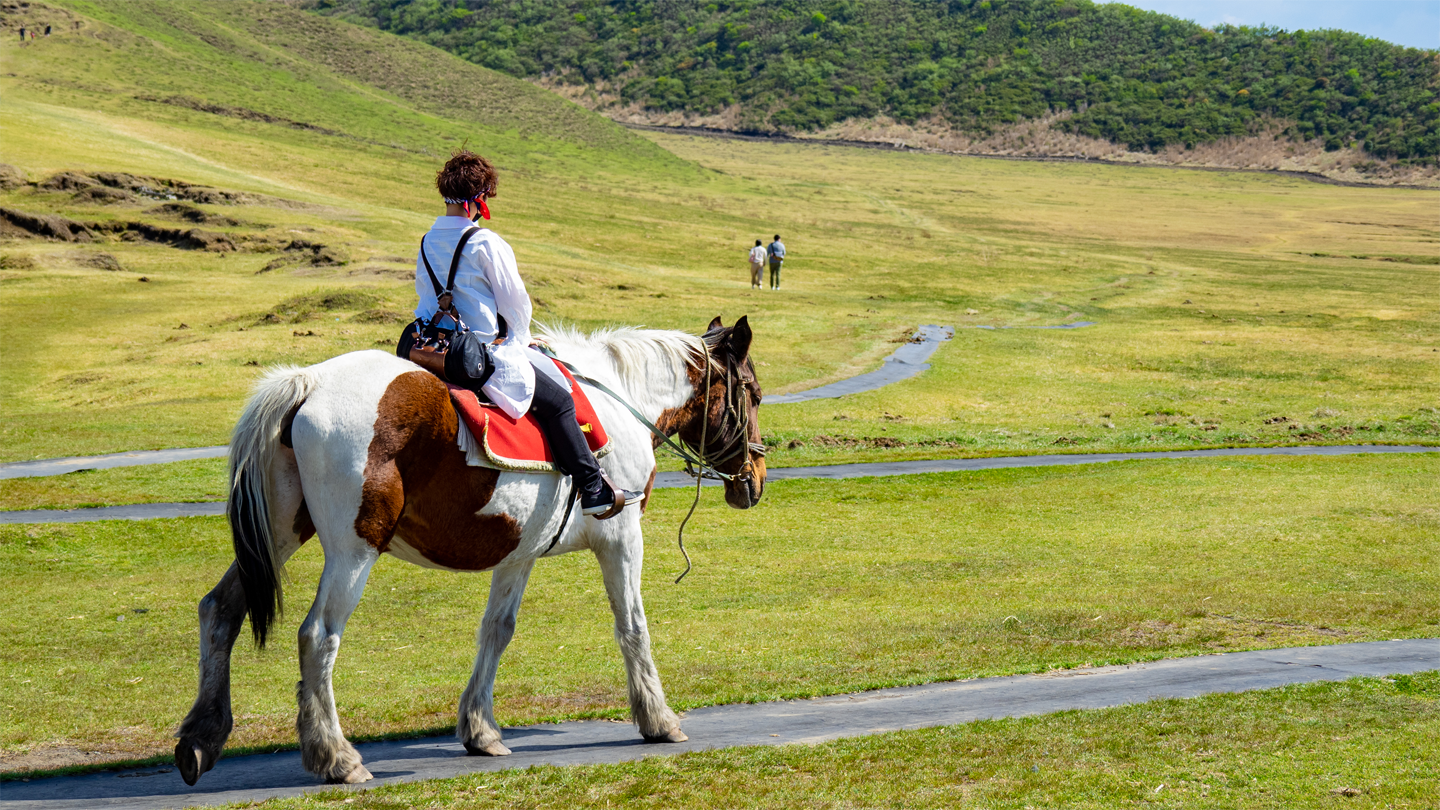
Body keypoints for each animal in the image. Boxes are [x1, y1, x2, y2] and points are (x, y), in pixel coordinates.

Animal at [173, 316, 766, 785]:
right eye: (754, 395)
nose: (754, 480)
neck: (621, 398)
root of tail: (310, 380)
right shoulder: (621, 538)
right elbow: (633, 626)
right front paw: (658, 719)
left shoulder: (518, 553)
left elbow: (496, 631)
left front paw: (480, 730)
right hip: (353, 549)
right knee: (318, 636)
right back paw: (335, 756)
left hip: (279, 532)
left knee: (220, 609)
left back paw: (201, 737)